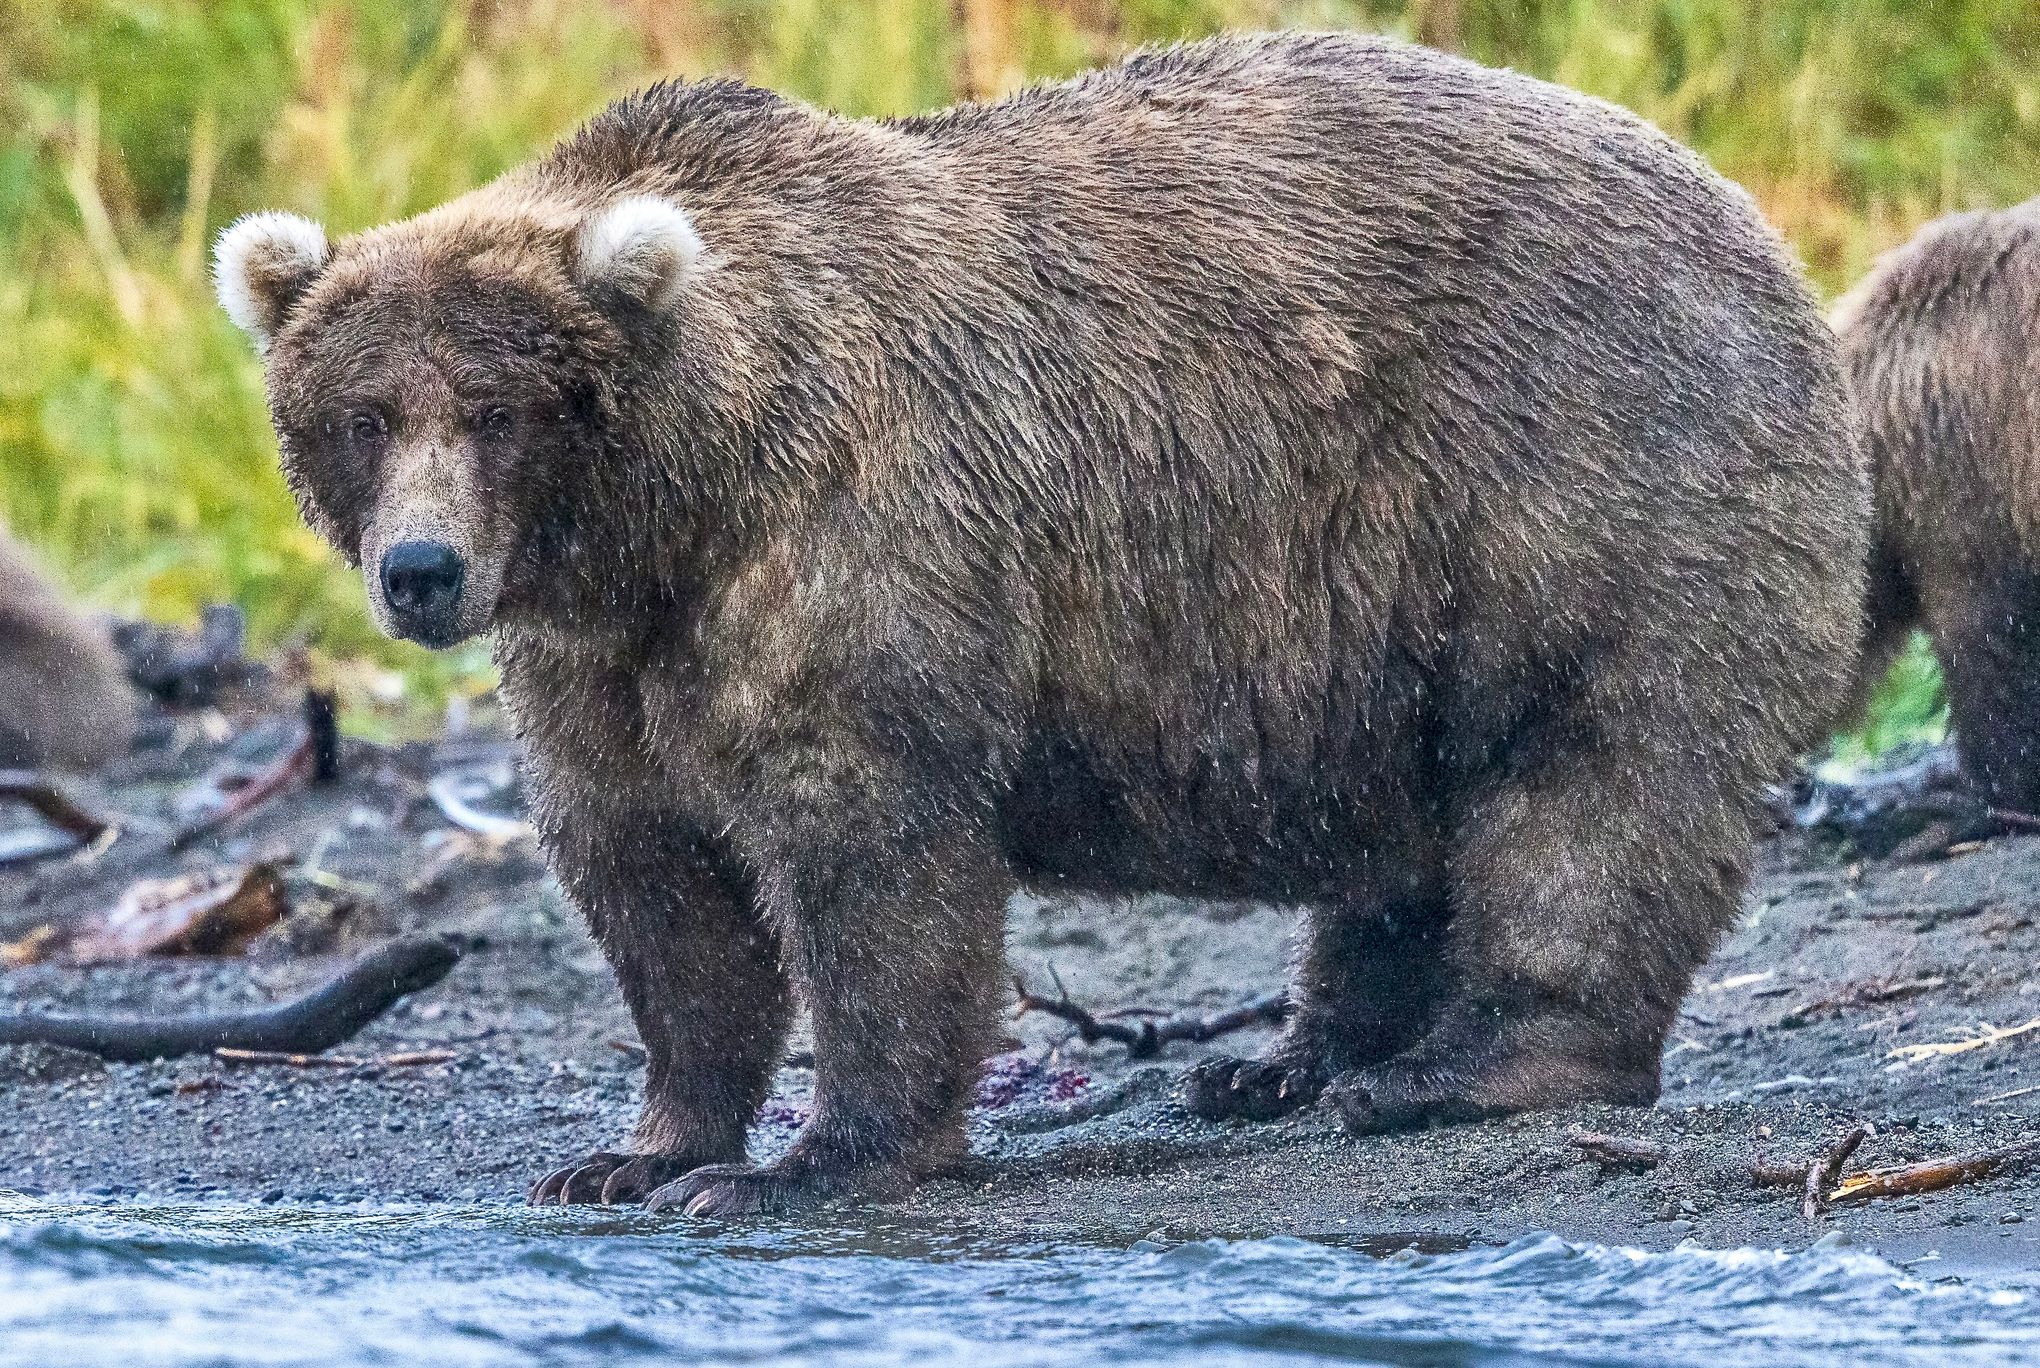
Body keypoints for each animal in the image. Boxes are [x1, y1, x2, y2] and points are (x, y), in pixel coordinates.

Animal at [219, 32, 1868, 1215]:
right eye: (364, 413)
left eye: (496, 410)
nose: (423, 570)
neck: (674, 510)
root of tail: (1764, 234)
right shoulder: (598, 659)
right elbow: (655, 879)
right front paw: (637, 1149)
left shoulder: (857, 538)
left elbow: (870, 852)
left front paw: (808, 1162)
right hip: (1392, 612)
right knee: (1416, 826)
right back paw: (1289, 1062)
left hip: (1578, 476)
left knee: (1586, 781)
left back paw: (1454, 1067)